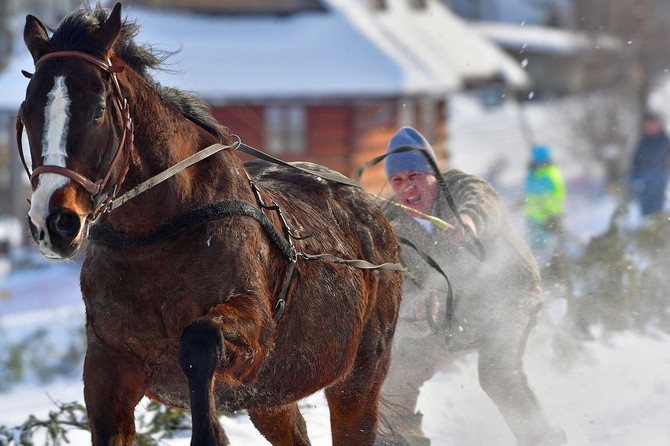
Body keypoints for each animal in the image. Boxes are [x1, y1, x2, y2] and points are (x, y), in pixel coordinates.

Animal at [17, 4, 404, 446]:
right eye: (27, 112)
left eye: (98, 110)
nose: (55, 221)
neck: (154, 236)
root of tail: (372, 211)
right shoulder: (108, 361)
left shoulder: (253, 333)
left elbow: (200, 342)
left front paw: (209, 429)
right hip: (272, 398)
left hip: (357, 379)